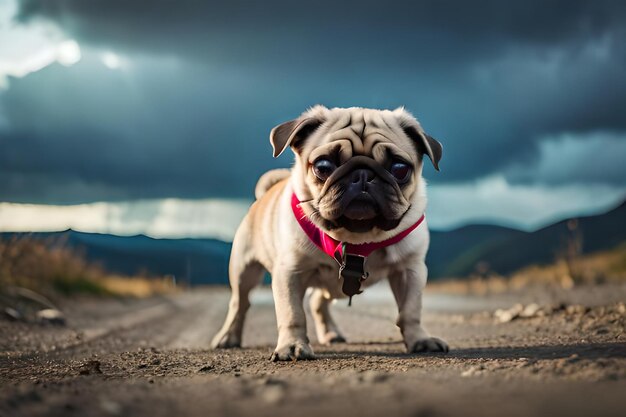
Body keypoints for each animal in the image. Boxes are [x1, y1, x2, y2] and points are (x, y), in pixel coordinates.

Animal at [212, 105, 446, 360]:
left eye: (400, 169)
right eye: (322, 167)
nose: (363, 174)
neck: (356, 237)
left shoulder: (409, 271)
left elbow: (410, 311)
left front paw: (420, 340)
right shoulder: (289, 273)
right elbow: (292, 313)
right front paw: (292, 345)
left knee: (318, 302)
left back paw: (331, 333)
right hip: (243, 270)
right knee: (240, 303)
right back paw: (228, 337)